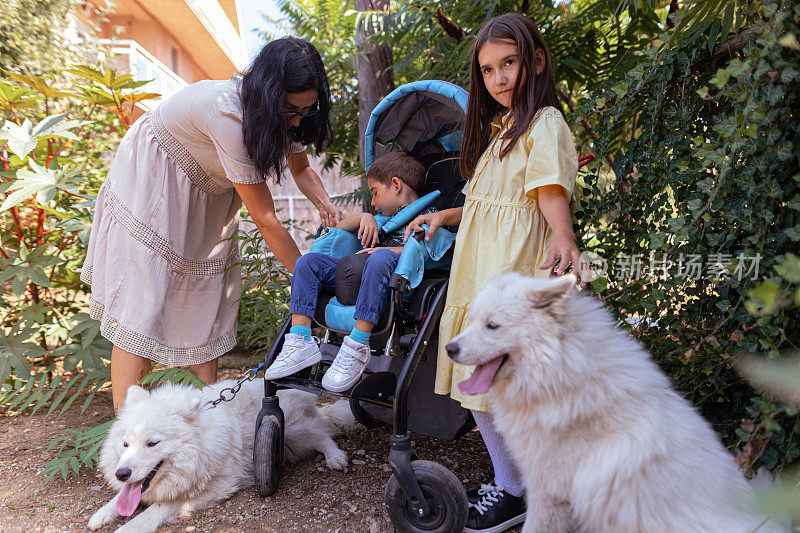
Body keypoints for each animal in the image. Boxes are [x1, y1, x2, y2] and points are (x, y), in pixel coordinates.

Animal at [87, 380, 354, 532]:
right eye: (125, 444)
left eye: (152, 443)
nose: (121, 474)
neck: (201, 444)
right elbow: (120, 500)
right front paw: (101, 514)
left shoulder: (218, 486)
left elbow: (159, 508)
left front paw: (129, 527)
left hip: (289, 433)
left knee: (322, 434)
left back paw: (336, 457)